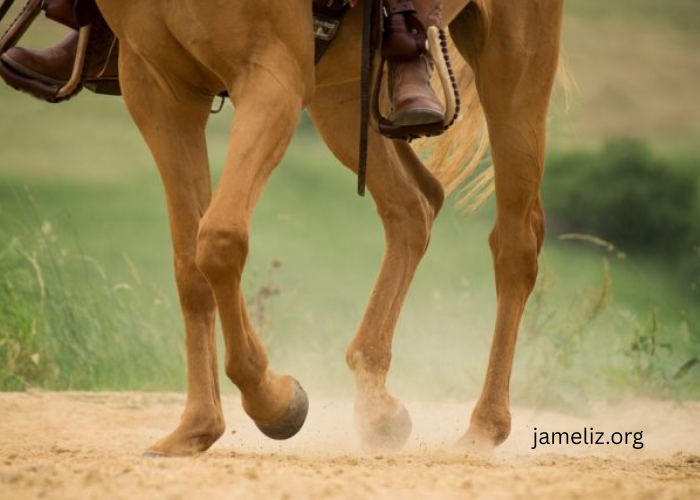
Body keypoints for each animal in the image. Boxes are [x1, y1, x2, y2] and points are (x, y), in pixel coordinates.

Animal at [91, 0, 564, 456]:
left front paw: (274, 401)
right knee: (415, 204)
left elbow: (219, 241)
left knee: (515, 245)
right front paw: (197, 427)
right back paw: (377, 407)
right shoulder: (158, 87)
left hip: (514, 63)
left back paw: (485, 426)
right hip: (344, 92)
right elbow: (191, 264)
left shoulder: (272, 78)